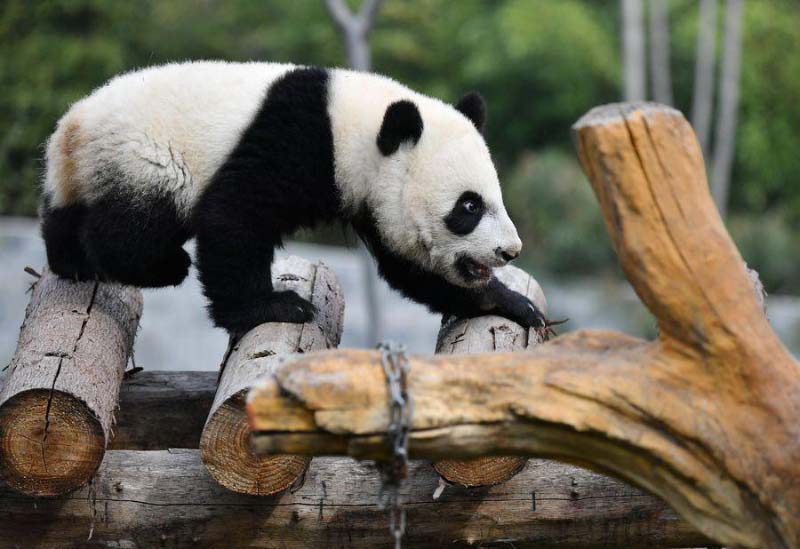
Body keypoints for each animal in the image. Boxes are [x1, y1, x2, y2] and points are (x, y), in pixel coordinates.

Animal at [40, 60, 548, 334]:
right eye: (469, 206)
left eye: (494, 199)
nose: (510, 250)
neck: (355, 128)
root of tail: (73, 126)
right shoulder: (297, 141)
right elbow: (233, 216)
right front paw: (274, 307)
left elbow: (409, 266)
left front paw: (512, 304)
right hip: (147, 157)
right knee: (131, 227)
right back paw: (160, 265)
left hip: (85, 169)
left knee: (66, 215)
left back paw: (71, 260)